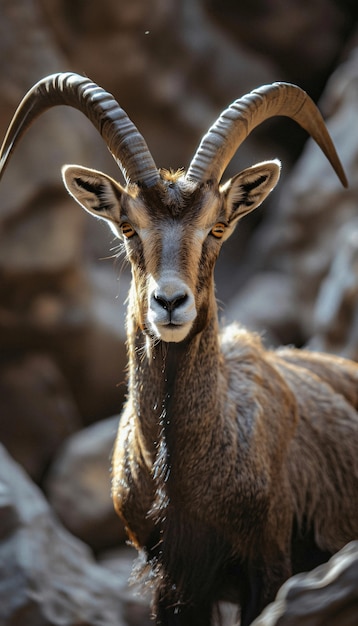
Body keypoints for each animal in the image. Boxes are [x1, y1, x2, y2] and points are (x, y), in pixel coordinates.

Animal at [0, 72, 356, 620]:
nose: (169, 303)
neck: (180, 476)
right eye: (128, 227)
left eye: (218, 227)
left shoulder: (267, 562)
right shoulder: (171, 578)